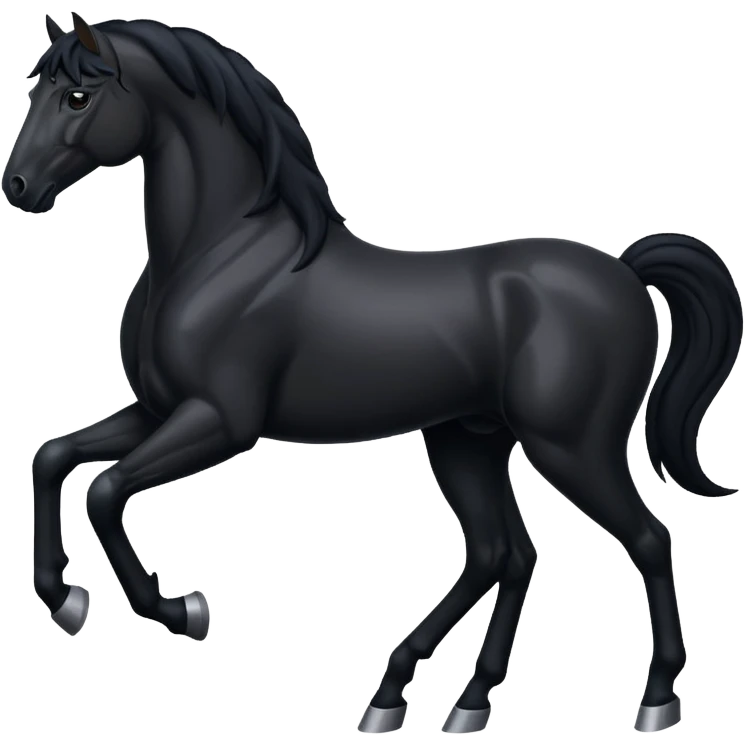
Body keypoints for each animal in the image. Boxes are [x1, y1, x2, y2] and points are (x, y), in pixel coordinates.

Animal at [6, 13, 741, 735]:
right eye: (37, 89)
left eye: (78, 97)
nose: (17, 188)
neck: (220, 252)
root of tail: (624, 271)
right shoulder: (158, 410)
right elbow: (53, 458)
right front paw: (65, 599)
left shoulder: (219, 421)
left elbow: (105, 491)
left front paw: (181, 610)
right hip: (467, 441)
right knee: (503, 554)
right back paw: (440, 700)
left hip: (572, 448)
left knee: (645, 540)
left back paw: (654, 699)